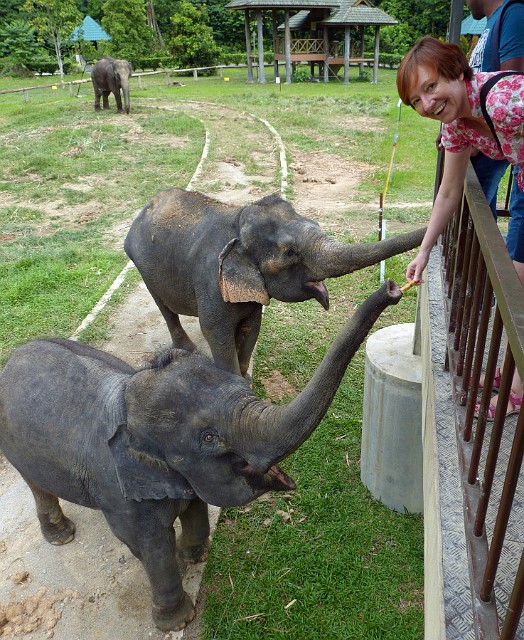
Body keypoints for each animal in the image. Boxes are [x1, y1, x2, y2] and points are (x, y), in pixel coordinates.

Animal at [0, 278, 402, 632]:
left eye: (243, 384)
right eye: (209, 437)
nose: (393, 287)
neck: (129, 394)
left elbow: (195, 506)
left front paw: (195, 556)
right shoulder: (118, 491)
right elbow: (149, 545)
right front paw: (177, 619)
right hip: (14, 448)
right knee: (36, 486)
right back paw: (61, 536)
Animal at [124, 186, 426, 376]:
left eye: (317, 225)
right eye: (290, 252)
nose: (396, 284)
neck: (237, 222)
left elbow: (251, 328)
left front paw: (245, 377)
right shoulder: (210, 280)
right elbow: (214, 331)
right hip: (142, 267)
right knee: (164, 308)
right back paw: (187, 348)